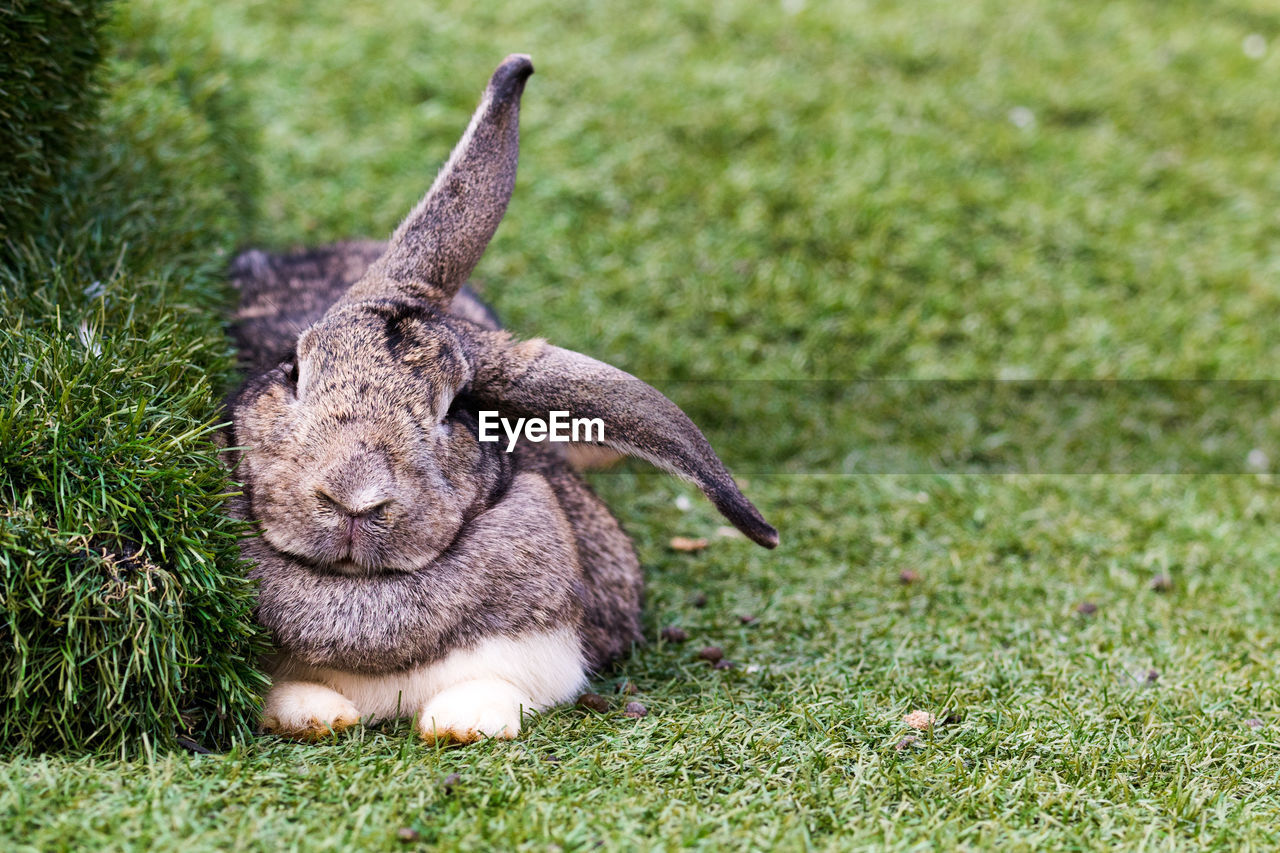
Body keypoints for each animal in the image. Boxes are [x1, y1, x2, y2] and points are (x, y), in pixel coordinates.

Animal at [225, 56, 773, 742]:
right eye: (294, 370)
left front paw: (458, 723)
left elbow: (493, 689)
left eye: (453, 411)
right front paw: (319, 715)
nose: (353, 496)